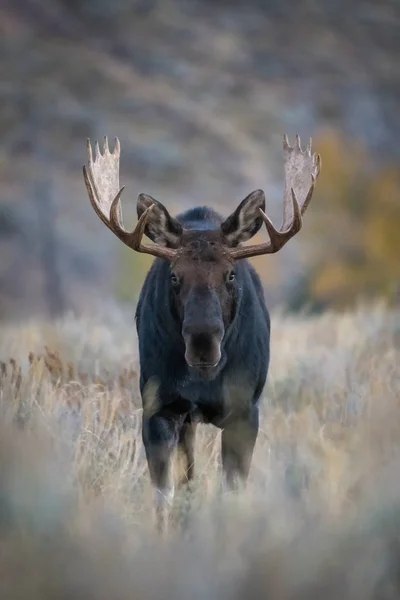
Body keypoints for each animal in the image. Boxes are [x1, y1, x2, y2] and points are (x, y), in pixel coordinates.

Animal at [83, 134, 320, 528]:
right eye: (174, 276)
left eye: (231, 274)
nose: (203, 345)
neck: (204, 381)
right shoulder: (159, 407)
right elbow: (166, 494)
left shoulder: (245, 410)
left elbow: (233, 490)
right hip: (185, 420)